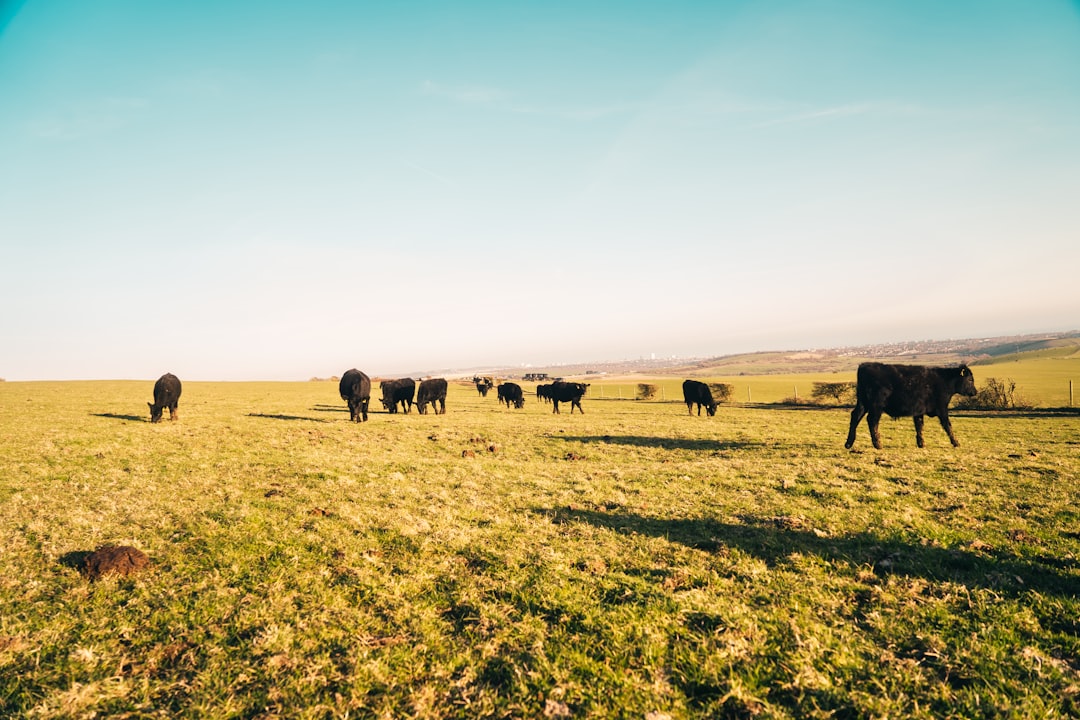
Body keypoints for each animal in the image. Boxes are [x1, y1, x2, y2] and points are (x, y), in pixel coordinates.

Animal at [842, 362, 980, 446]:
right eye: (970, 379)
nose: (975, 392)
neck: (945, 381)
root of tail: (864, 365)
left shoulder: (919, 410)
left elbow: (919, 426)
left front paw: (921, 443)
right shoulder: (942, 408)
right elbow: (948, 425)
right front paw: (956, 442)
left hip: (862, 402)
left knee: (855, 416)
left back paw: (849, 443)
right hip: (876, 406)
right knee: (871, 420)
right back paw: (877, 444)